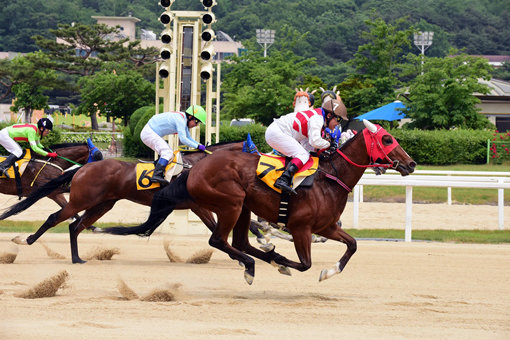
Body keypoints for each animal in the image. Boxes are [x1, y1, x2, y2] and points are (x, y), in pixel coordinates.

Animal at [2, 141, 243, 262]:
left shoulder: (201, 205)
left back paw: (77, 258)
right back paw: (27, 240)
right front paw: (240, 257)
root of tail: (82, 168)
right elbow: (217, 227)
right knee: (56, 218)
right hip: (82, 200)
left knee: (76, 226)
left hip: (102, 204)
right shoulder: (198, 205)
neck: (197, 166)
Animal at [102, 119, 414, 284]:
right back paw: (252, 265)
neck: (330, 177)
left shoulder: (326, 227)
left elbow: (352, 244)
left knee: (239, 241)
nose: (411, 164)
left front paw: (329, 271)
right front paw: (284, 261)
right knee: (218, 240)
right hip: (231, 203)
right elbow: (305, 264)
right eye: (388, 139)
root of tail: (194, 168)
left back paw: (260, 258)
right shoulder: (301, 228)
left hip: (241, 207)